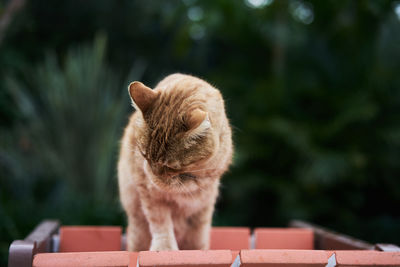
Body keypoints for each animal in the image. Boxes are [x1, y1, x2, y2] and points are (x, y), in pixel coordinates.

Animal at [117, 73, 233, 251]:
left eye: (169, 166)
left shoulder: (205, 198)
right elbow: (160, 222)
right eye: (144, 155)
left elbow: (198, 233)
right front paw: (164, 248)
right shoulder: (150, 195)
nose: (153, 172)